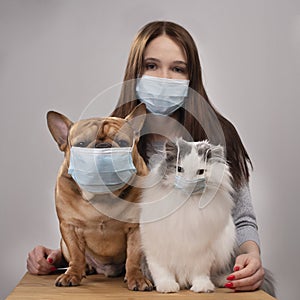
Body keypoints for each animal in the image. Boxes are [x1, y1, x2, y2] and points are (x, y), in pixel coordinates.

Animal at [139, 139, 236, 292]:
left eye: (200, 172)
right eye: (179, 169)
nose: (189, 183)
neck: (185, 204)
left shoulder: (203, 251)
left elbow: (200, 273)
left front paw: (202, 288)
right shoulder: (156, 249)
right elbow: (162, 272)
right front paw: (167, 287)